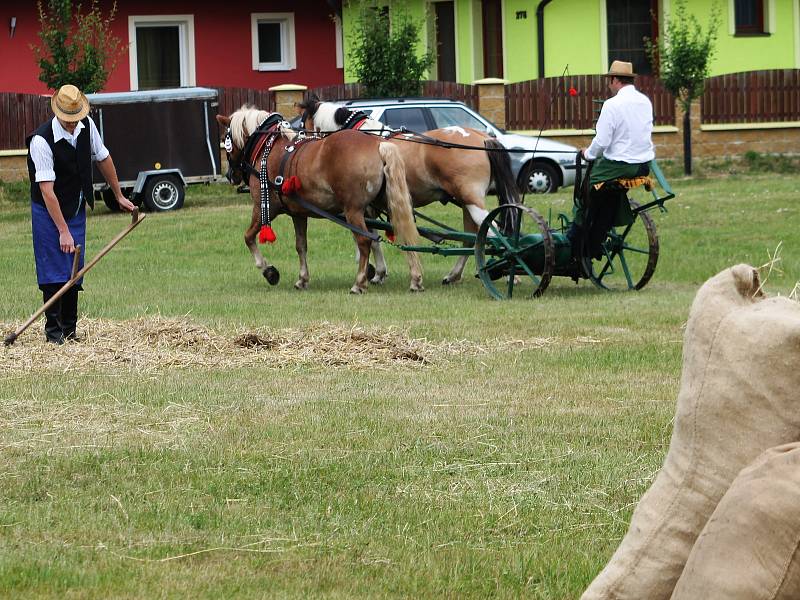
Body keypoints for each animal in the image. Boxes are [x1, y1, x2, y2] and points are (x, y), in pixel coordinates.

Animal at [212, 109, 424, 296]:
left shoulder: (264, 208)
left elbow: (248, 237)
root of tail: (378, 144)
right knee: (403, 232)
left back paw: (359, 283)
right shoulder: (298, 213)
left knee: (364, 241)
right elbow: (301, 246)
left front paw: (269, 271)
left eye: (225, 137)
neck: (268, 147)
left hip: (353, 210)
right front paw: (302, 279)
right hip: (388, 203)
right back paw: (415, 279)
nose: (230, 175)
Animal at [298, 98, 520, 286]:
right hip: (466, 202)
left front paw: (376, 273)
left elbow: (370, 238)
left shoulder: (364, 206)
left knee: (491, 232)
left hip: (471, 200)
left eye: (303, 124)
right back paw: (455, 274)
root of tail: (483, 138)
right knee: (472, 236)